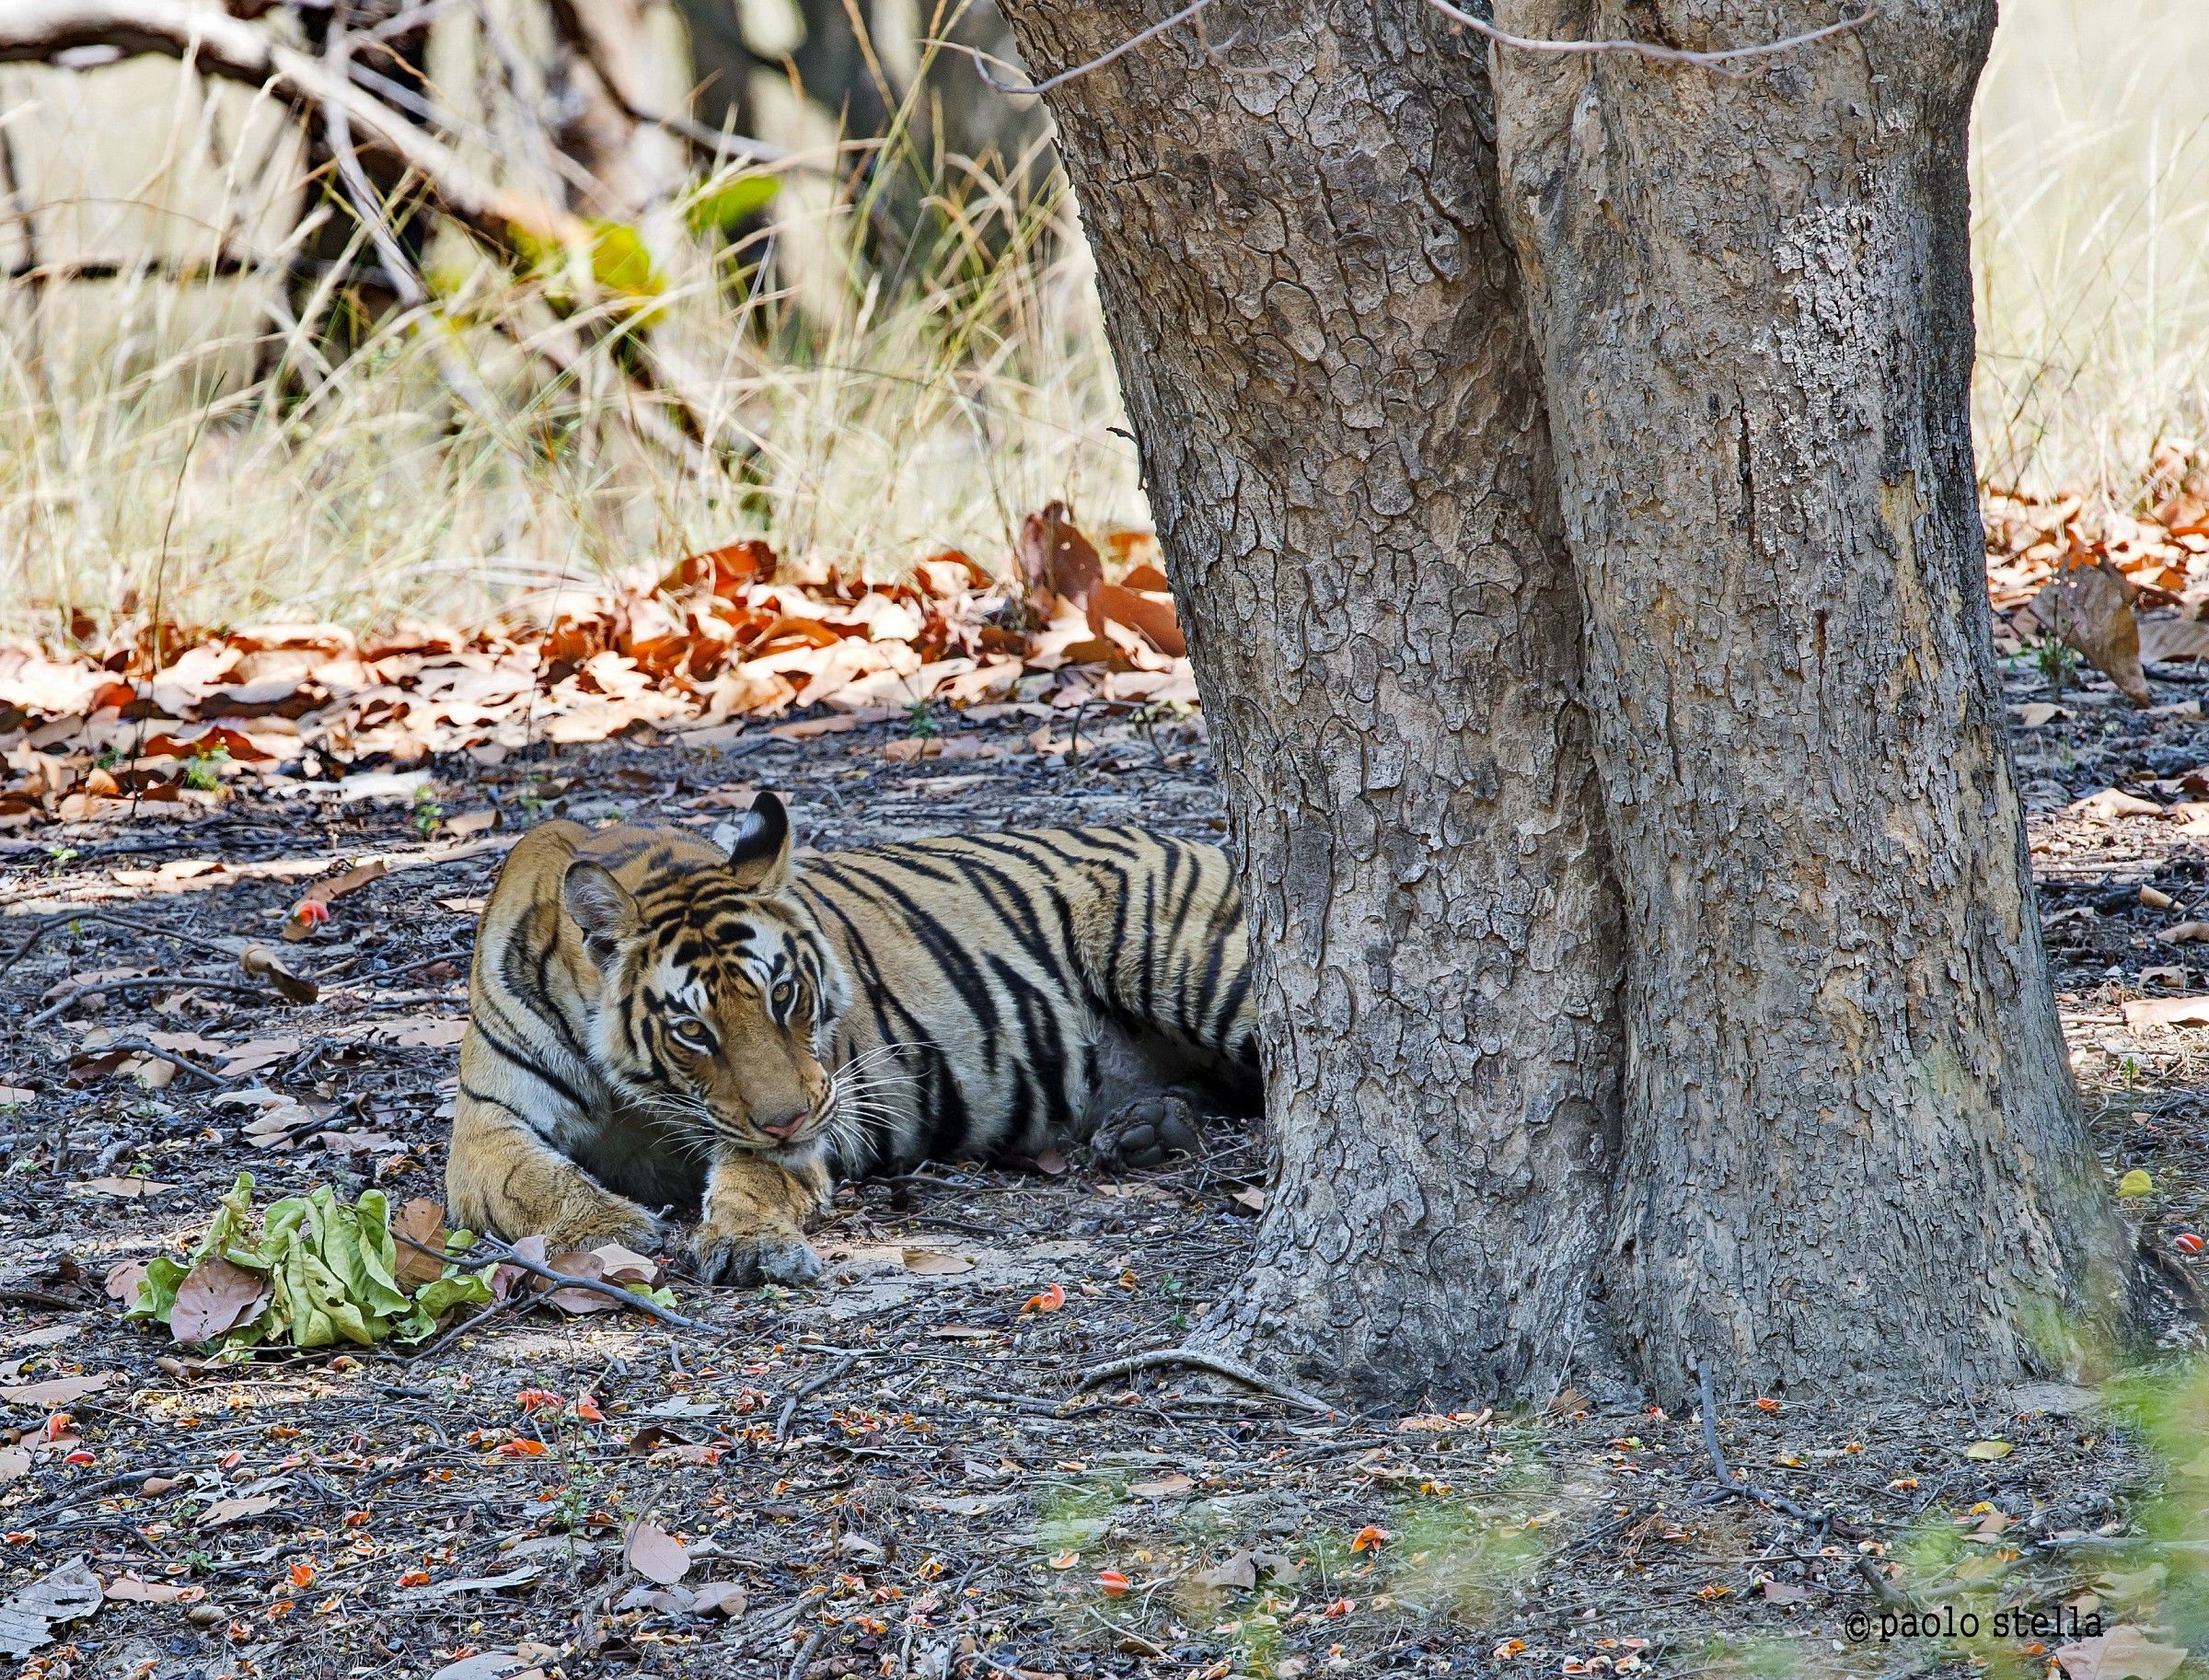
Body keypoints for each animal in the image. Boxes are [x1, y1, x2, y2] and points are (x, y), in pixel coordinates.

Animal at [445, 793, 1259, 1286]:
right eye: (693, 1030)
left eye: (783, 994)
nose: (792, 1118)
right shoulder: (485, 1128)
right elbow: (532, 1179)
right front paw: (610, 1223)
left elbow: (754, 1174)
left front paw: (748, 1244)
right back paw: (1145, 1129)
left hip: (1195, 967)